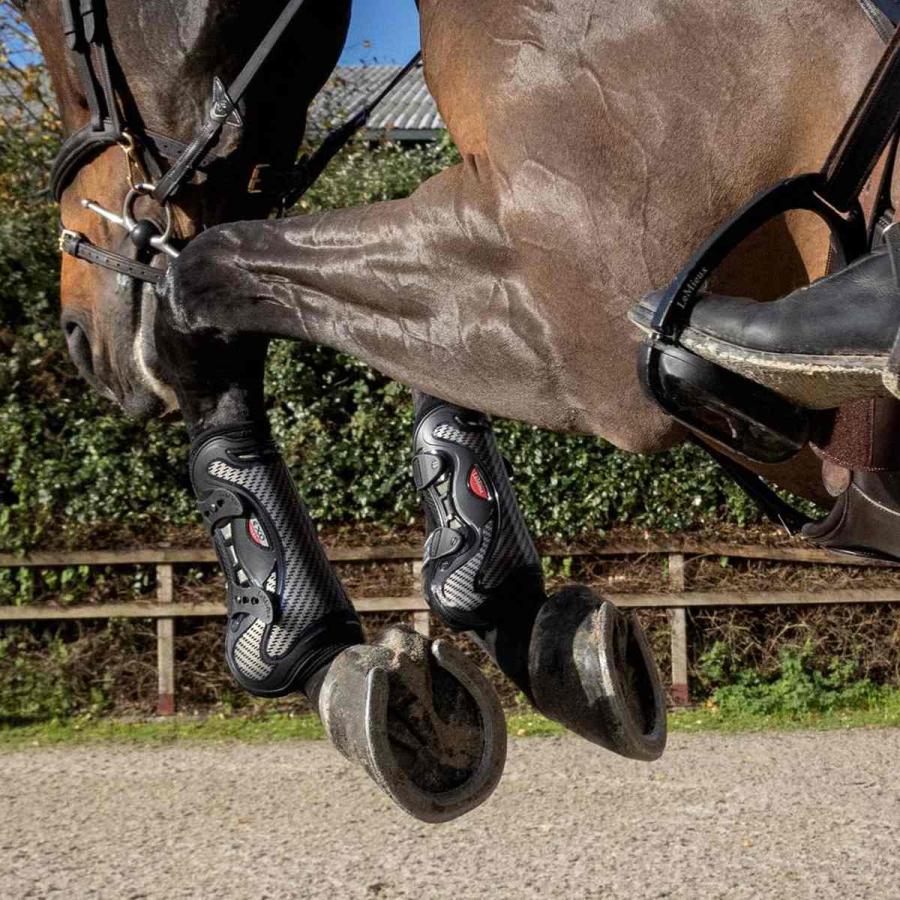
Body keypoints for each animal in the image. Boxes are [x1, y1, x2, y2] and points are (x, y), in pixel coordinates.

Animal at [19, 0, 887, 821]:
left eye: (54, 21)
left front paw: (310, 648)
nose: (80, 332)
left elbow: (203, 278)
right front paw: (498, 622)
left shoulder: (564, 312)